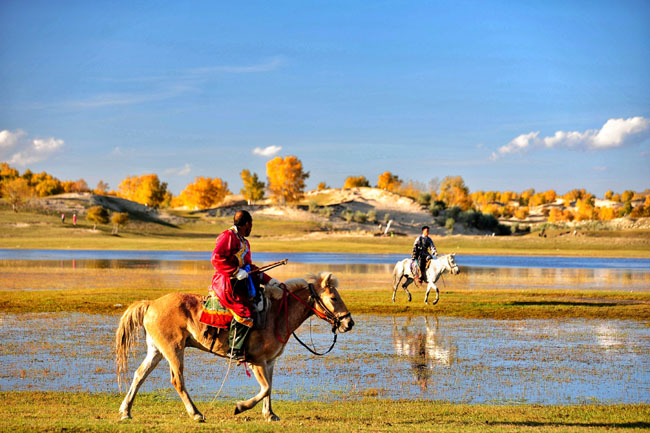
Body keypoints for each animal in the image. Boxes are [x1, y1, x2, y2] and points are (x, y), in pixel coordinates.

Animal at [114, 272, 352, 420]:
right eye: (333, 297)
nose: (349, 323)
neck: (276, 315)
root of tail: (151, 304)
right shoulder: (257, 361)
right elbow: (265, 388)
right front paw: (240, 407)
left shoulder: (269, 362)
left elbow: (270, 388)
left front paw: (270, 414)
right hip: (174, 350)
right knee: (177, 380)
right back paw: (196, 414)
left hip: (156, 350)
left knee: (139, 375)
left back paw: (126, 411)